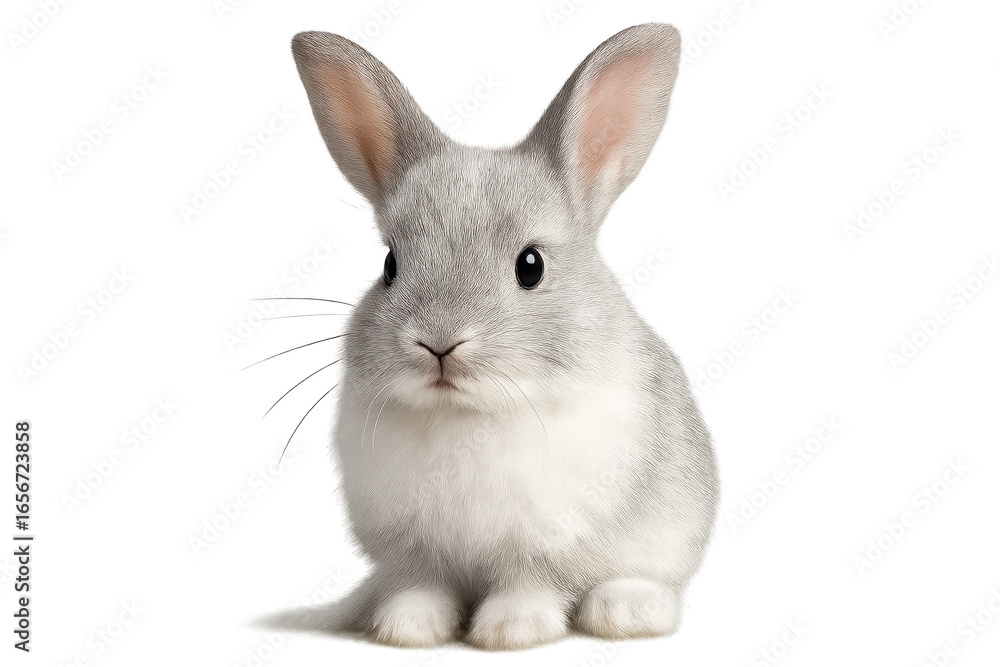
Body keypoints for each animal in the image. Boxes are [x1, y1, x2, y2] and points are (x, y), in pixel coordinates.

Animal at [287, 22, 719, 650]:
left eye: (531, 265)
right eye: (390, 264)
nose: (439, 343)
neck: (467, 413)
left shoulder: (543, 542)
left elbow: (528, 581)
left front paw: (511, 630)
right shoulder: (417, 552)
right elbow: (423, 582)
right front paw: (407, 628)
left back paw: (626, 610)